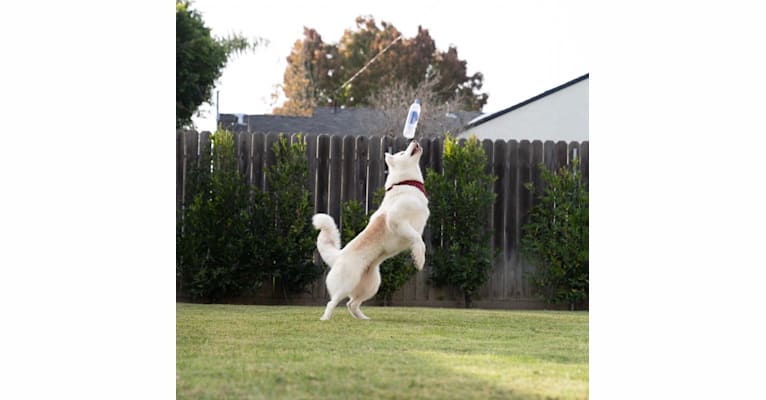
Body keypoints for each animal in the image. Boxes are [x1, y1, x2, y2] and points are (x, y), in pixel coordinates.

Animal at [314, 139, 432, 320]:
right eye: (402, 153)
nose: (414, 140)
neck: (405, 184)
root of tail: (338, 256)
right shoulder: (395, 220)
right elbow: (418, 240)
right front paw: (419, 259)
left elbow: (419, 240)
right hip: (346, 284)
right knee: (332, 303)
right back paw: (325, 318)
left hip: (371, 286)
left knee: (351, 304)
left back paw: (363, 319)